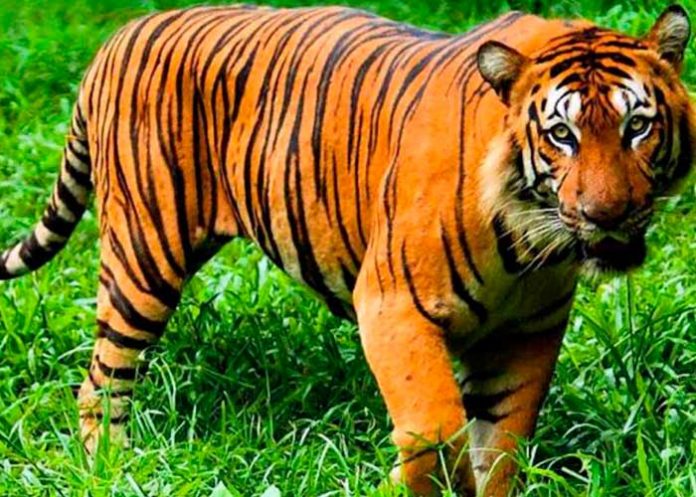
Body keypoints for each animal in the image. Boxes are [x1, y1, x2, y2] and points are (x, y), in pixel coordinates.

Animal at [0, 3, 693, 496]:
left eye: (637, 126)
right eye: (561, 135)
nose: (608, 215)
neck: (529, 241)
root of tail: (123, 32)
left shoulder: (527, 330)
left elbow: (499, 449)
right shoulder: (391, 305)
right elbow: (434, 432)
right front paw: (405, 483)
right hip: (143, 257)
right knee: (100, 380)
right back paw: (108, 470)